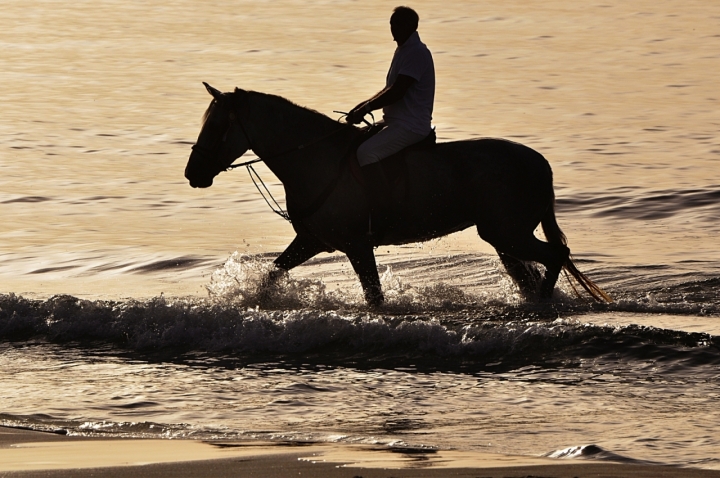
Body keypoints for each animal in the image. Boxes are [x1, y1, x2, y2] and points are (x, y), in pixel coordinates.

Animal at [184, 82, 608, 306]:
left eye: (216, 126)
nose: (192, 174)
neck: (315, 158)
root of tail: (540, 163)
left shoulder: (356, 245)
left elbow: (374, 297)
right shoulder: (312, 240)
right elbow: (273, 274)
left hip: (508, 233)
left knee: (556, 256)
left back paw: (543, 305)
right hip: (504, 237)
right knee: (534, 269)